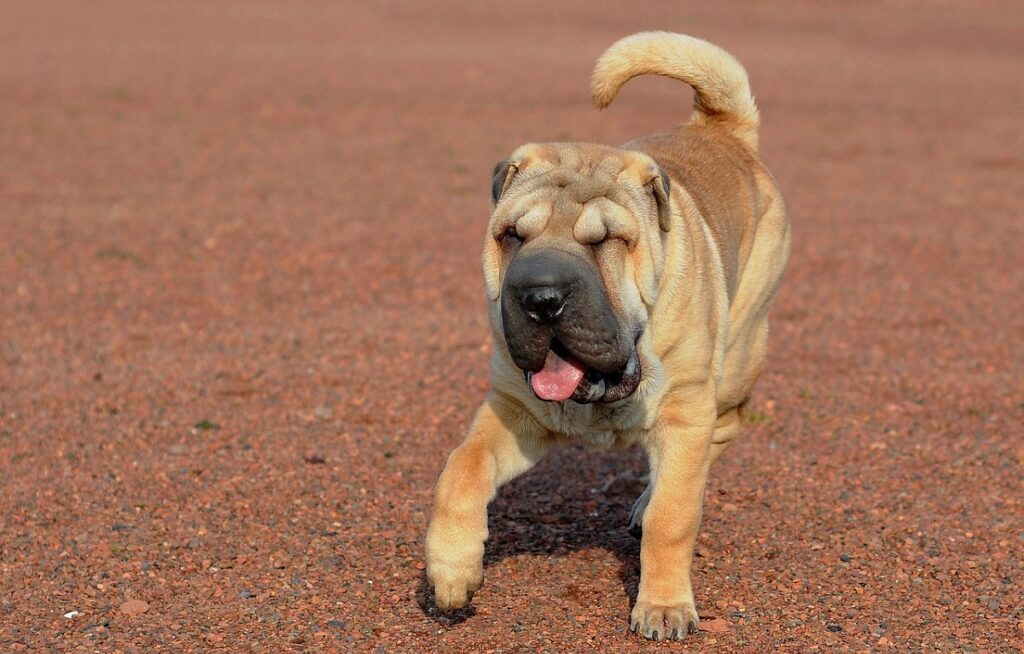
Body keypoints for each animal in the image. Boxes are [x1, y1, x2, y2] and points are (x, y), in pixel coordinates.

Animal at [423, 33, 790, 642]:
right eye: (511, 236)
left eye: (608, 241)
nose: (541, 296)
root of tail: (719, 129)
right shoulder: (511, 410)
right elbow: (462, 468)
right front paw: (452, 569)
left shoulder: (685, 410)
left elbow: (674, 516)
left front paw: (664, 606)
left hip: (736, 358)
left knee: (719, 433)